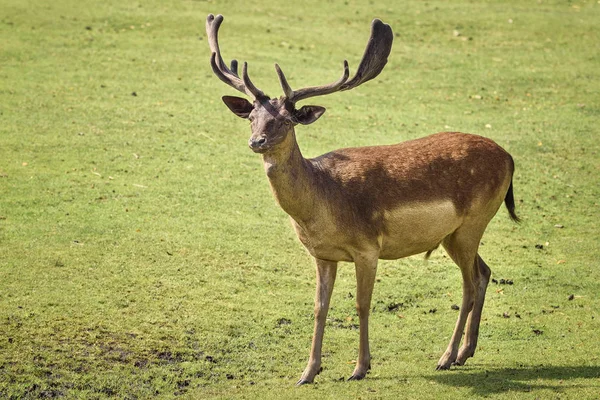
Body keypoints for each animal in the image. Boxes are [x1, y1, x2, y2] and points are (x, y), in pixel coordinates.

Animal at [206, 14, 520, 384]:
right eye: (252, 117)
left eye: (285, 120)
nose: (257, 141)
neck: (321, 206)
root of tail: (509, 158)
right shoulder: (322, 255)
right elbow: (319, 307)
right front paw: (308, 372)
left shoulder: (368, 247)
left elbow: (362, 303)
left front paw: (360, 368)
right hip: (453, 235)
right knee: (484, 272)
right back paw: (465, 352)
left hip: (473, 222)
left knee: (469, 284)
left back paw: (446, 357)